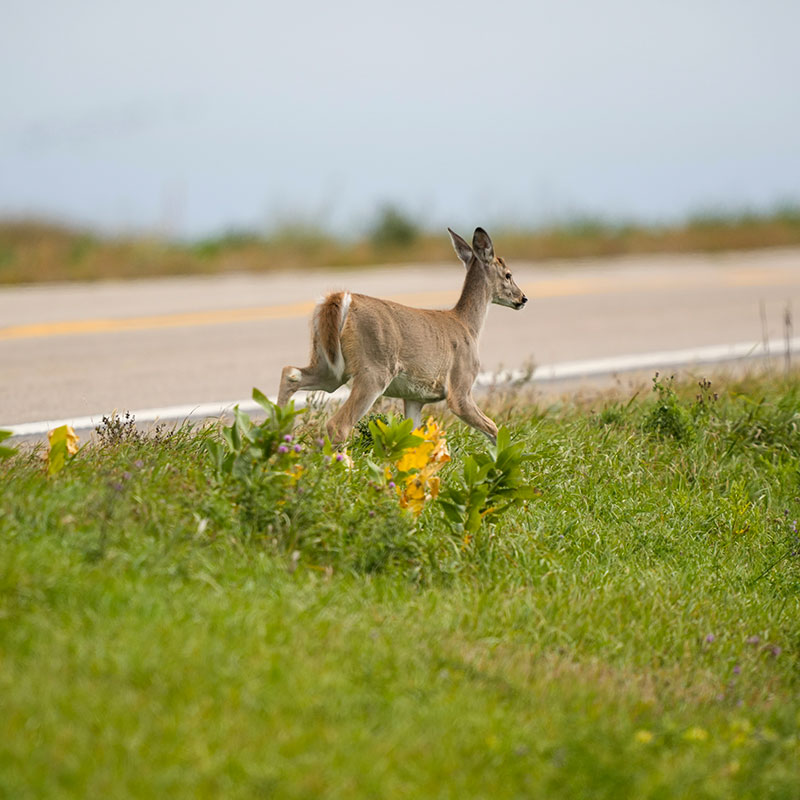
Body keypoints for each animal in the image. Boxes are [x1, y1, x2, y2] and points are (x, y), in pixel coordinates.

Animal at [277, 227, 527, 443]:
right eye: (508, 275)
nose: (523, 298)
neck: (468, 326)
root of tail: (340, 298)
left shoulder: (414, 397)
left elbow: (413, 439)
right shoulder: (460, 388)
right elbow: (493, 427)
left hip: (330, 366)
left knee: (290, 372)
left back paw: (278, 435)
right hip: (374, 369)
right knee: (338, 425)